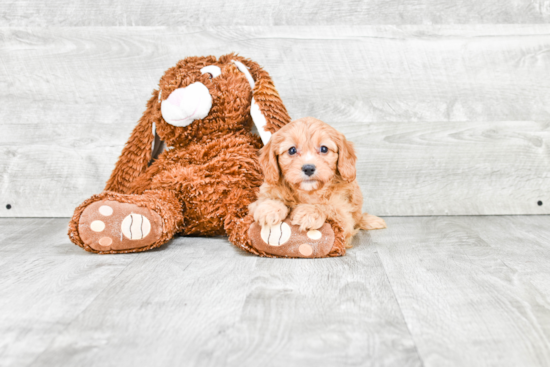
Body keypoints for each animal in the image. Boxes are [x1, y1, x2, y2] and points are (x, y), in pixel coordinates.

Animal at [251, 116, 388, 247]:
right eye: (292, 150)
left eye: (324, 149)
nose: (308, 168)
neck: (309, 192)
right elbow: (267, 199)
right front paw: (270, 208)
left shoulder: (344, 217)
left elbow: (328, 207)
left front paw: (309, 212)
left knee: (358, 219)